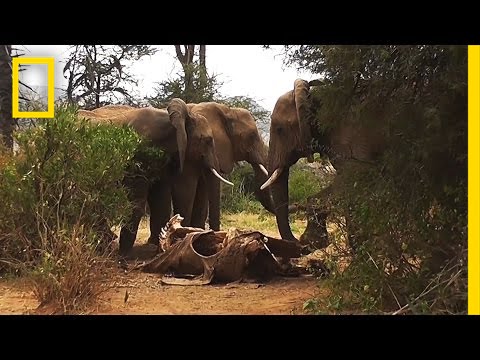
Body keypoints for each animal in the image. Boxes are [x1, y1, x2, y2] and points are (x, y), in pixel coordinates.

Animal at [77, 98, 232, 256]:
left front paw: (159, 249)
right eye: (207, 140)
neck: (175, 121)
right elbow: (138, 201)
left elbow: (160, 199)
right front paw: (124, 255)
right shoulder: (139, 155)